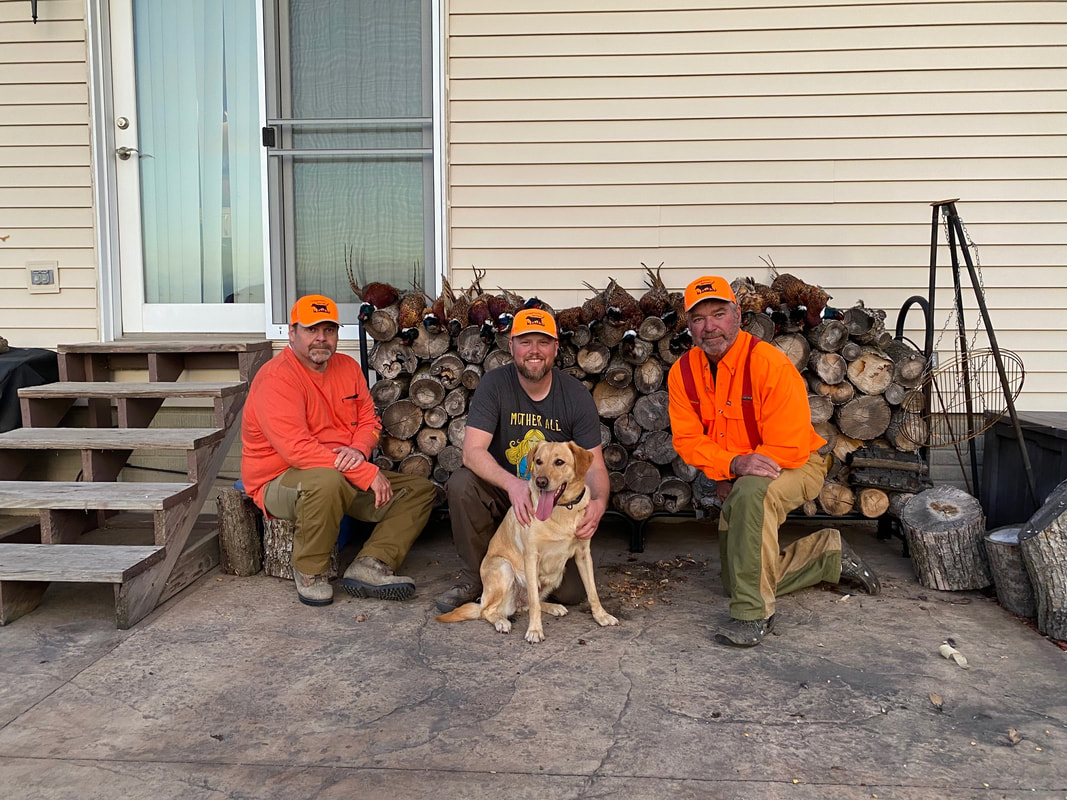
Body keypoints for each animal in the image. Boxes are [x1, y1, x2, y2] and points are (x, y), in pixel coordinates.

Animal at [433, 441, 618, 644]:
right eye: (538, 461)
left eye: (559, 462)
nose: (541, 482)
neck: (563, 509)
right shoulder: (531, 557)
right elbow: (535, 603)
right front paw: (535, 630)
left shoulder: (584, 555)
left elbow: (592, 592)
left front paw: (601, 615)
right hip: (504, 568)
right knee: (488, 611)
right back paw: (501, 622)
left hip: (555, 575)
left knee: (528, 603)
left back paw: (553, 607)